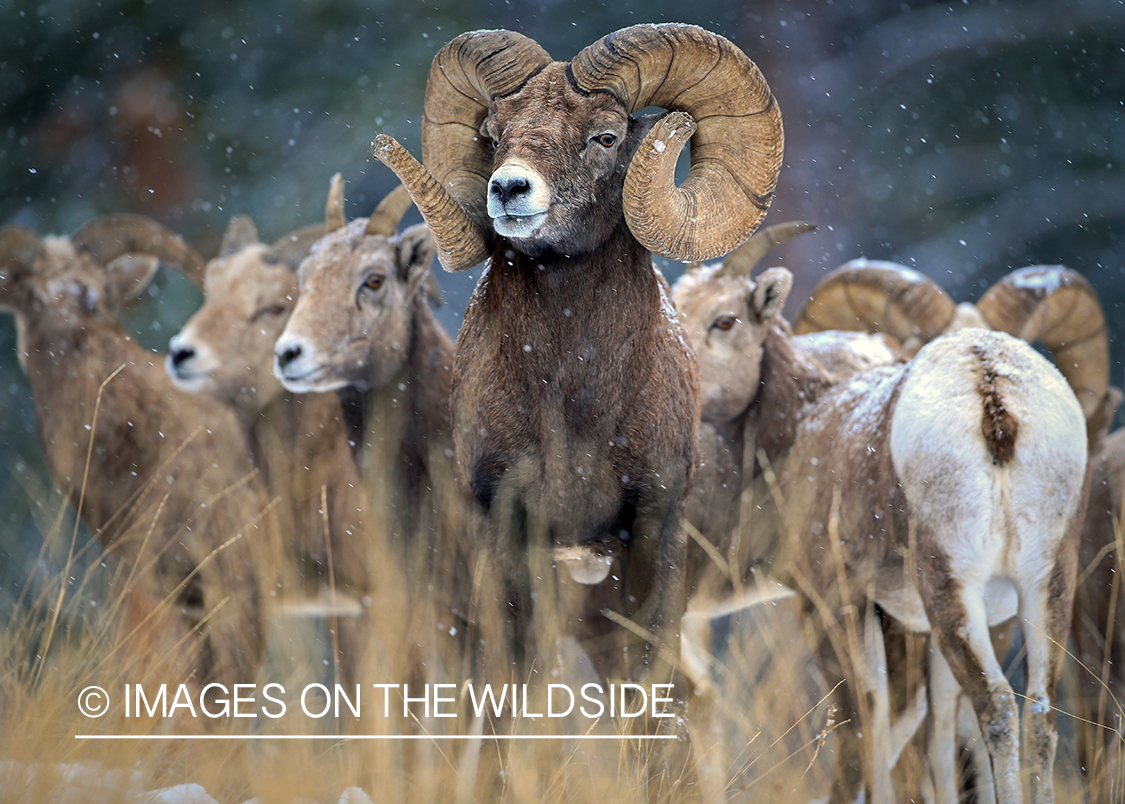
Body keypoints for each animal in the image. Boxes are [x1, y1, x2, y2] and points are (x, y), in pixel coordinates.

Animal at [369, 23, 783, 687]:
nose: (508, 188)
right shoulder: (506, 530)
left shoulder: (655, 527)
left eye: (605, 136)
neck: (573, 402)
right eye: (494, 135)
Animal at [672, 264, 1089, 804]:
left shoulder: (837, 604)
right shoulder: (920, 630)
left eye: (724, 321)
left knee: (995, 705)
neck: (804, 421)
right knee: (1038, 714)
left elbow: (866, 722)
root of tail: (991, 391)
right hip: (1047, 584)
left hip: (949, 591)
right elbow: (936, 738)